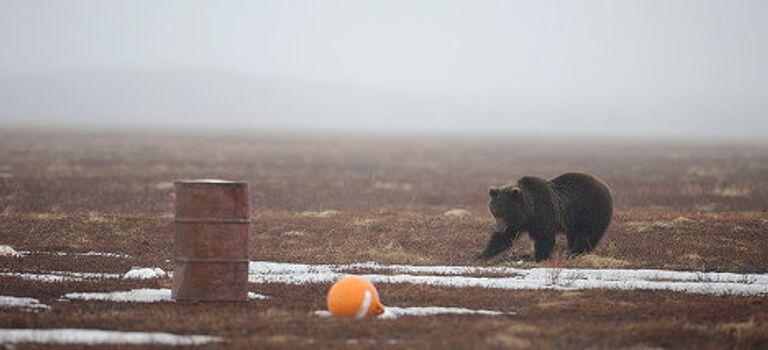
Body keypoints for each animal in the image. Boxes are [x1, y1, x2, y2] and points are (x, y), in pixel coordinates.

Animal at [474, 173, 612, 262]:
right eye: (495, 212)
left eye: (506, 212)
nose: (500, 228)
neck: (530, 211)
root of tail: (605, 186)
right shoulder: (517, 224)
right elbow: (503, 239)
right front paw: (481, 254)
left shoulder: (544, 213)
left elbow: (544, 237)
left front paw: (538, 257)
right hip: (575, 220)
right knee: (574, 235)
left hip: (591, 211)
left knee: (587, 235)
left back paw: (574, 253)